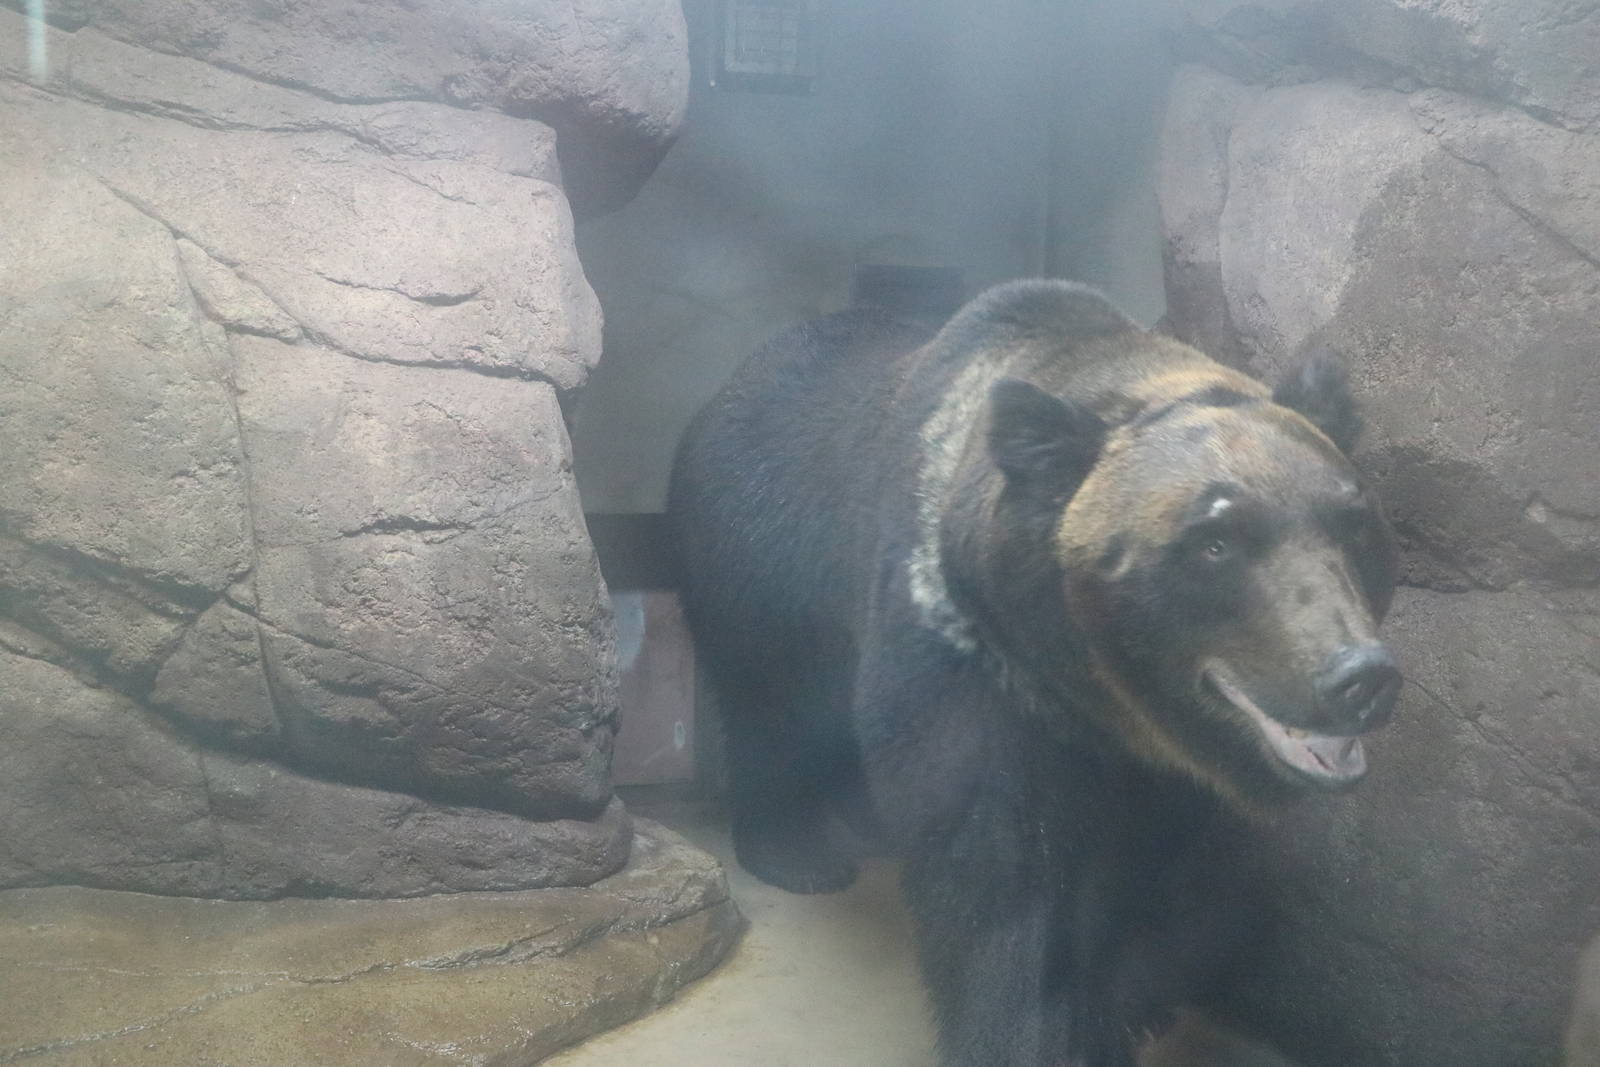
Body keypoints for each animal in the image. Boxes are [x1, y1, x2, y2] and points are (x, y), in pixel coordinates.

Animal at [668, 280, 1400, 1066]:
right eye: (1215, 540)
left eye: (1353, 522)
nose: (1358, 675)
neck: (1093, 686)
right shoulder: (967, 663)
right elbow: (1001, 875)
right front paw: (1029, 1033)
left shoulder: (1162, 766)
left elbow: (1139, 875)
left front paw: (1124, 1008)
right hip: (756, 564)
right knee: (766, 703)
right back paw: (796, 850)